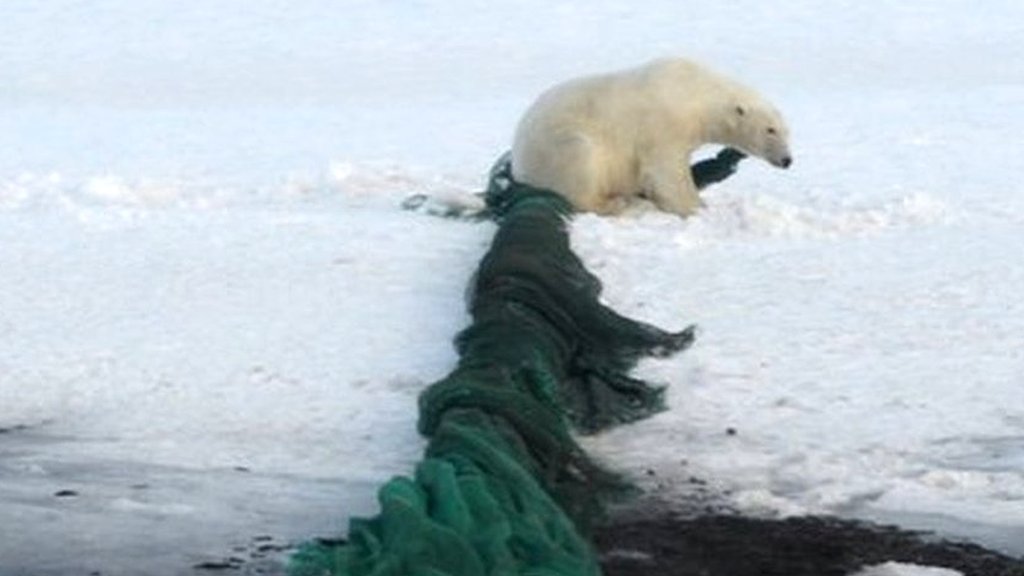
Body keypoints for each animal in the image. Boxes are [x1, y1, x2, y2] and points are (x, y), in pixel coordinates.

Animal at [512, 58, 790, 216]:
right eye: (770, 130)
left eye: (787, 131)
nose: (787, 160)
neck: (697, 93)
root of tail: (518, 165)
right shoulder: (664, 123)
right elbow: (667, 170)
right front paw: (695, 207)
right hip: (555, 146)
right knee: (580, 159)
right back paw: (616, 204)